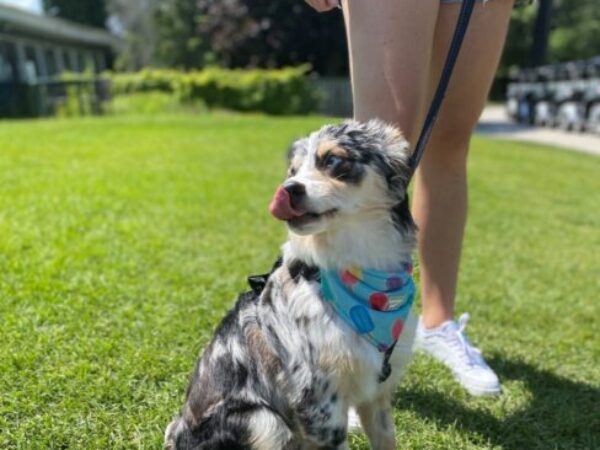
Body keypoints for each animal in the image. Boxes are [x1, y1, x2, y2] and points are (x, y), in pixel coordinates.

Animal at [164, 119, 418, 450]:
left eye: (332, 160)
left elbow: (386, 439)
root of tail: (176, 436)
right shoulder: (318, 401)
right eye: (292, 171)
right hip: (264, 421)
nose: (287, 190)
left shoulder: (376, 392)